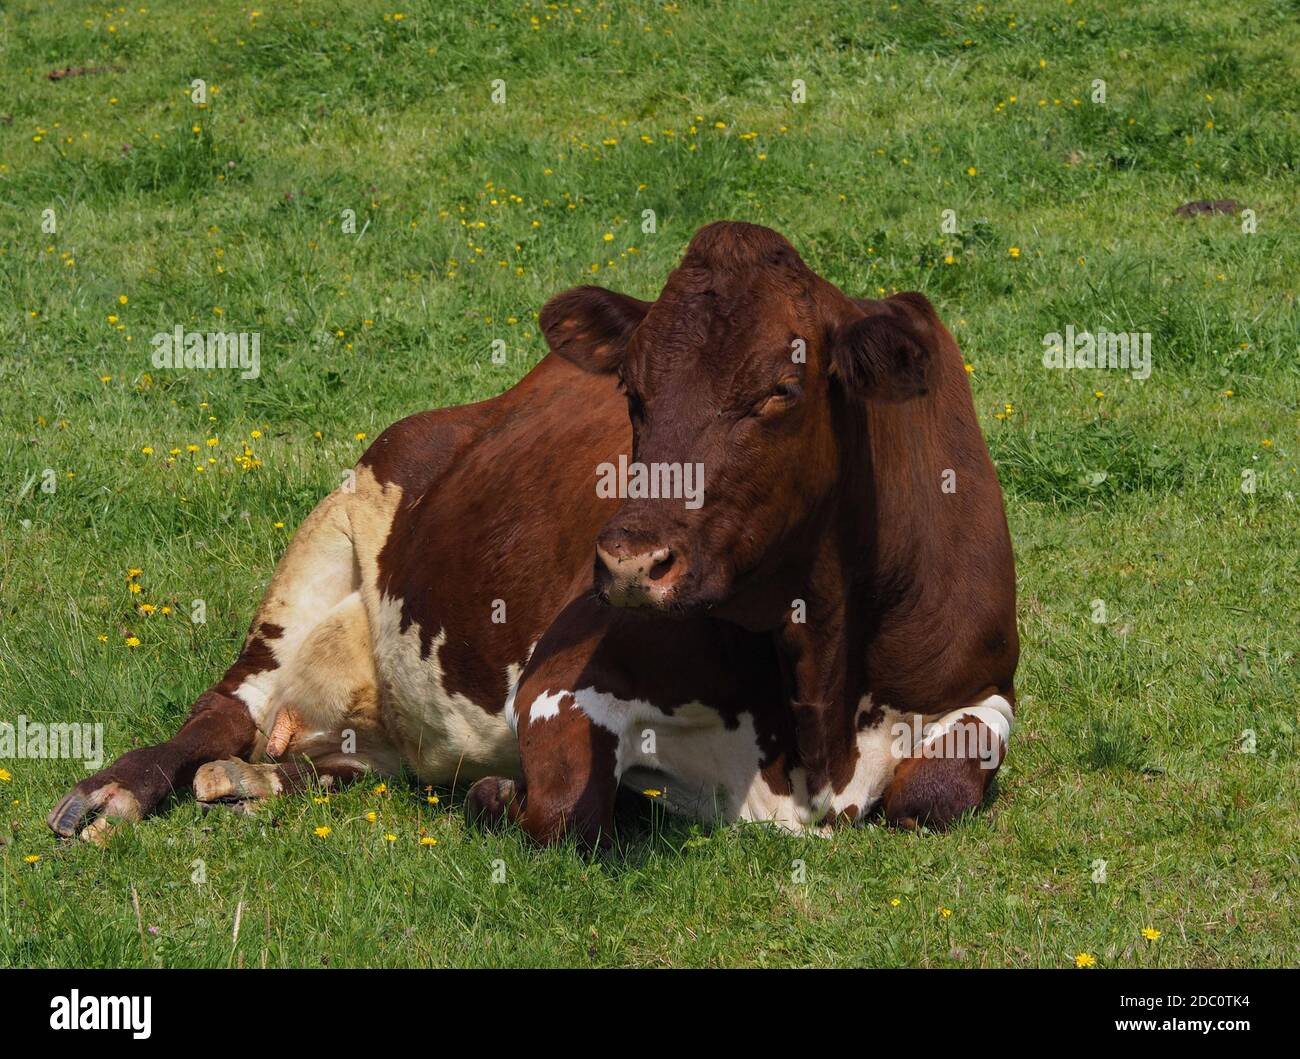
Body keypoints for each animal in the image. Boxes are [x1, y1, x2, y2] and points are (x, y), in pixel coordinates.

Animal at [48, 221, 1018, 850]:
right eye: (631, 389)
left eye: (782, 389)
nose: (629, 561)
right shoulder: (562, 674)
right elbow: (561, 807)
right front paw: (499, 790)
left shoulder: (983, 686)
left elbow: (934, 792)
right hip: (327, 536)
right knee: (222, 709)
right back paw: (112, 793)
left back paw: (256, 782)